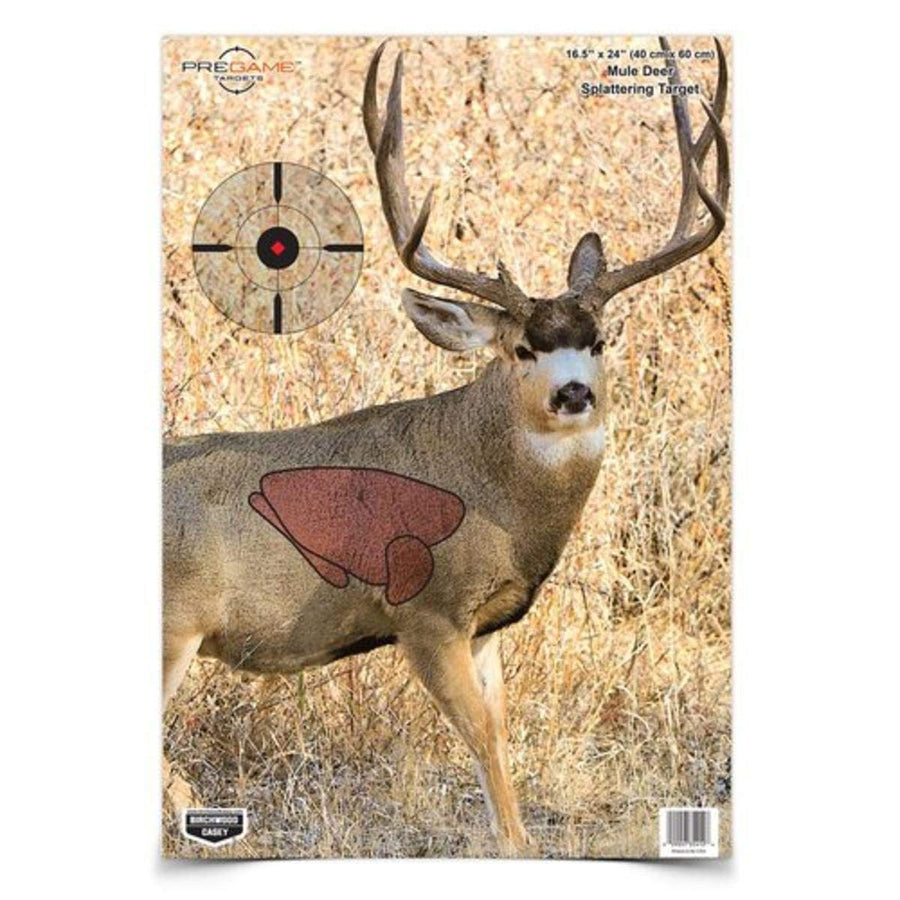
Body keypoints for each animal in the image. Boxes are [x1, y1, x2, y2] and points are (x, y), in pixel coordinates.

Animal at [163, 37, 729, 855]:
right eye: (523, 348)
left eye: (598, 341)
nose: (573, 394)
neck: (493, 497)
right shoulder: (424, 613)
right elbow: (482, 744)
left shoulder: (486, 626)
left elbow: (501, 737)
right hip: (172, 627)